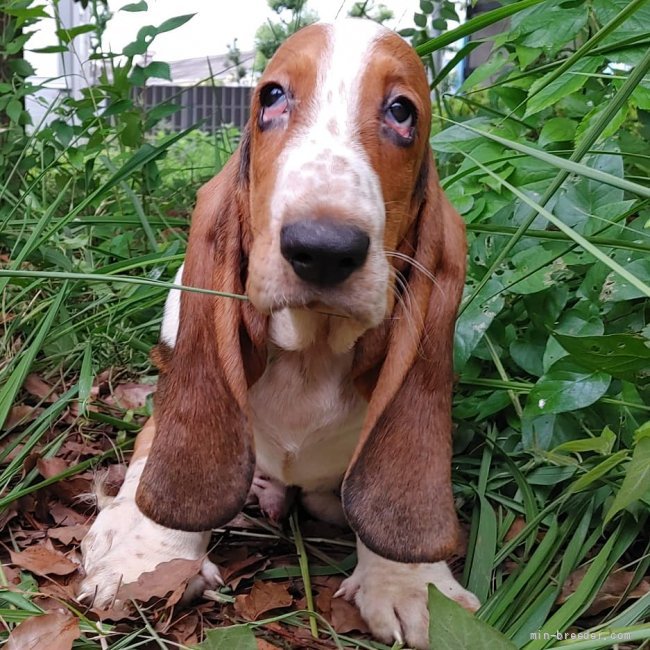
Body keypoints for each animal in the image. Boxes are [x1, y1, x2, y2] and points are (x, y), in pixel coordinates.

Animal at [78, 17, 478, 644]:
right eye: (270, 96)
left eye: (402, 112)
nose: (324, 248)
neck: (311, 353)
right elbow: (158, 459)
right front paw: (148, 558)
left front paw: (412, 584)